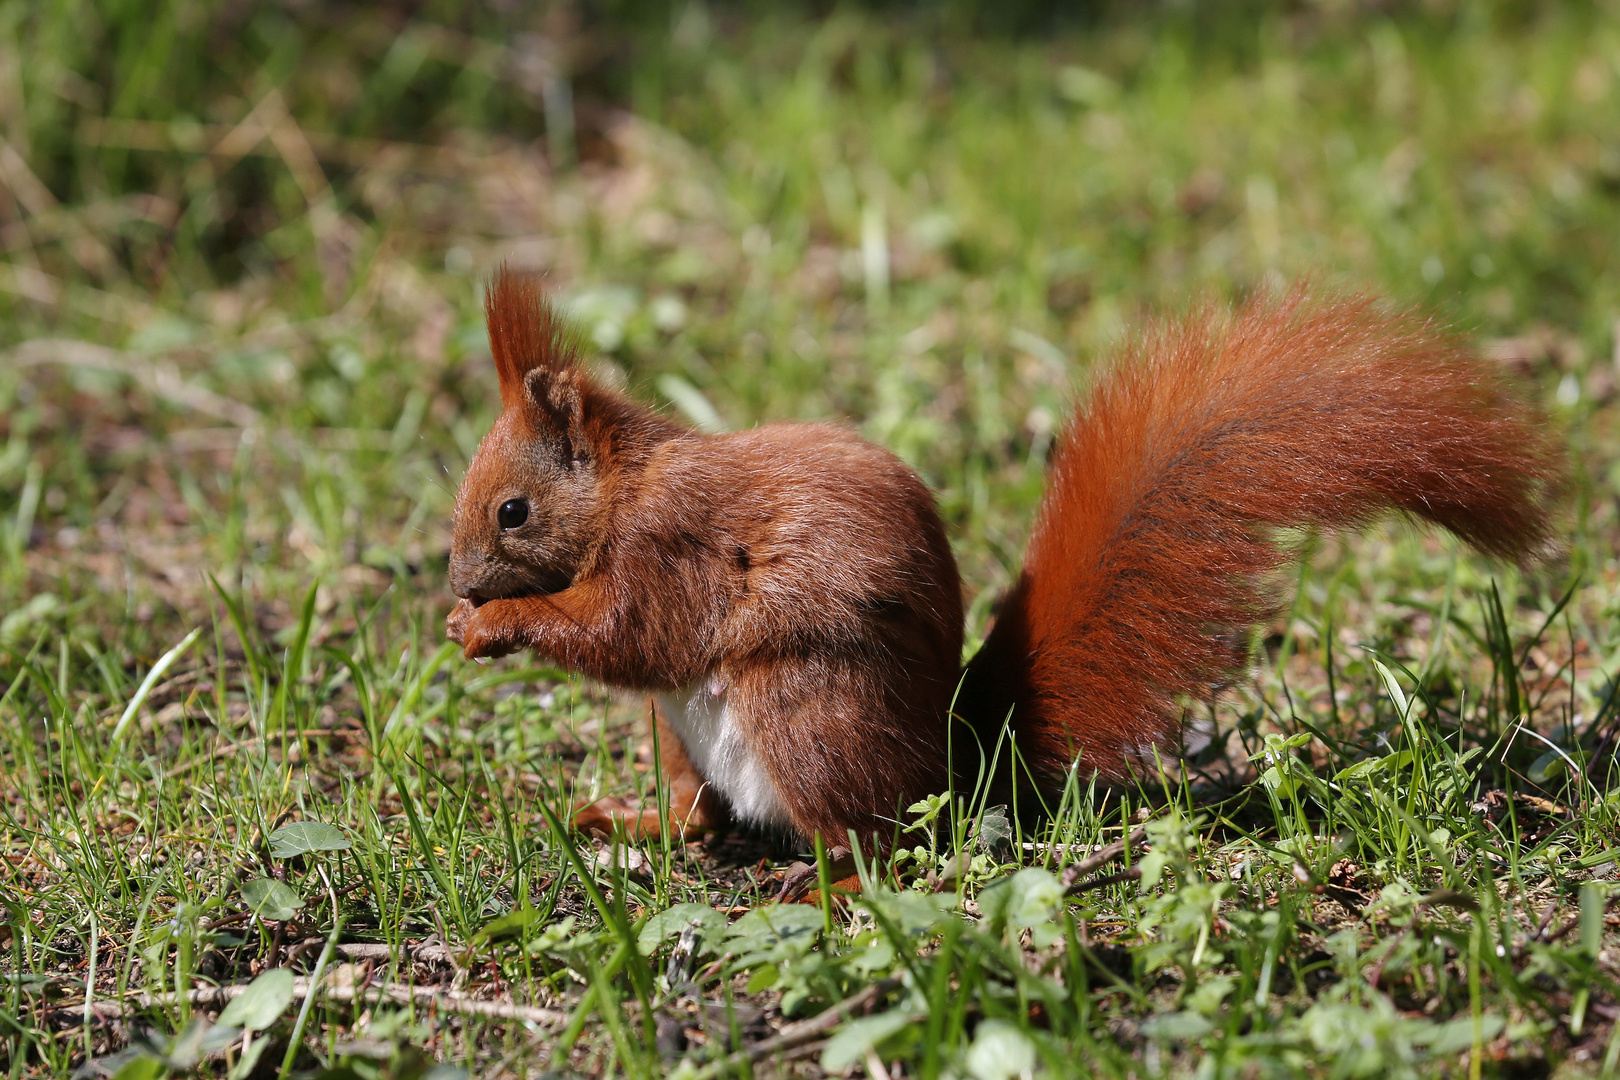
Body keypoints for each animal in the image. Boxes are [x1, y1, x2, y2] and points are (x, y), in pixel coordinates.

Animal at [446, 267, 1563, 850]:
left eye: (513, 510)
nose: (456, 584)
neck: (623, 486)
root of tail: (950, 757)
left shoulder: (673, 543)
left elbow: (630, 633)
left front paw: (496, 624)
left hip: (806, 710)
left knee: (870, 839)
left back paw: (827, 879)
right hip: (684, 739)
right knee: (698, 818)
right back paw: (628, 820)